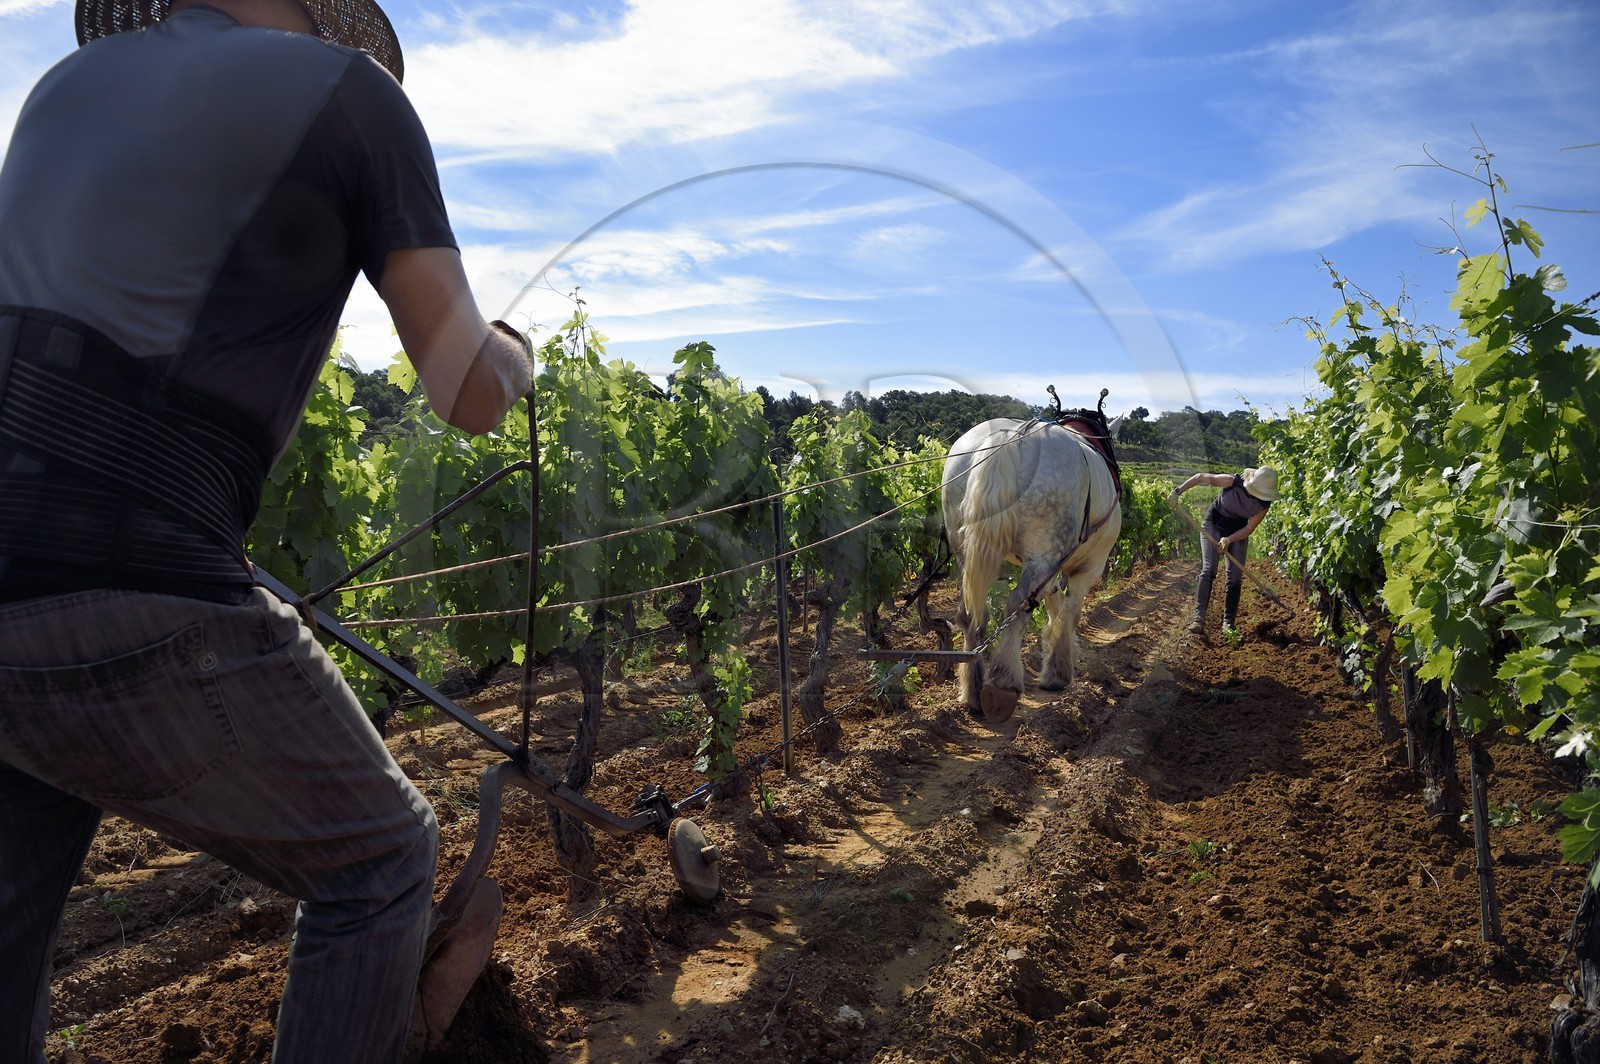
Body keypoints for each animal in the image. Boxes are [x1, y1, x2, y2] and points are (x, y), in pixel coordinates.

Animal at [940, 409, 1123, 723]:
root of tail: (1009, 436)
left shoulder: (1051, 569)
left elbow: (1055, 605)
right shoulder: (1089, 566)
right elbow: (1070, 613)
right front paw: (1058, 670)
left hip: (965, 550)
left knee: (972, 613)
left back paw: (974, 690)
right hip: (1044, 553)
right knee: (1016, 606)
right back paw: (1002, 684)